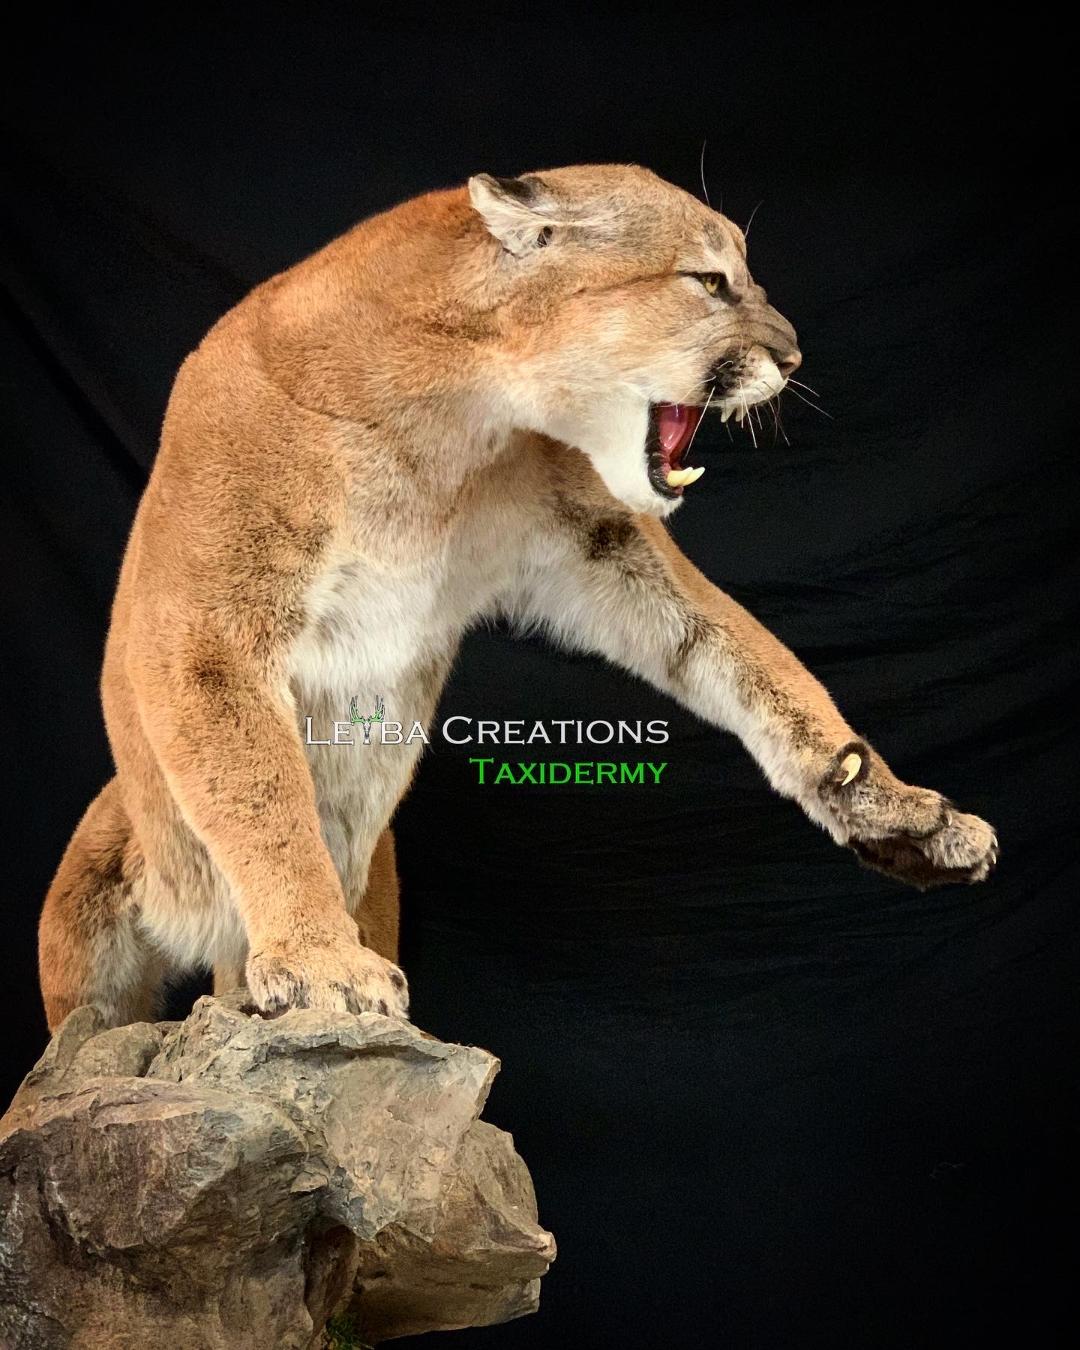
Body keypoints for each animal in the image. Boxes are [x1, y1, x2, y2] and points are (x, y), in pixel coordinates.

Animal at [38, 164, 997, 1031]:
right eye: (709, 280)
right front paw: (319, 960)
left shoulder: (599, 542)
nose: (794, 355)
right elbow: (262, 794)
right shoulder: (211, 631)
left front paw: (893, 809)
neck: (447, 420)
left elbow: (745, 654)